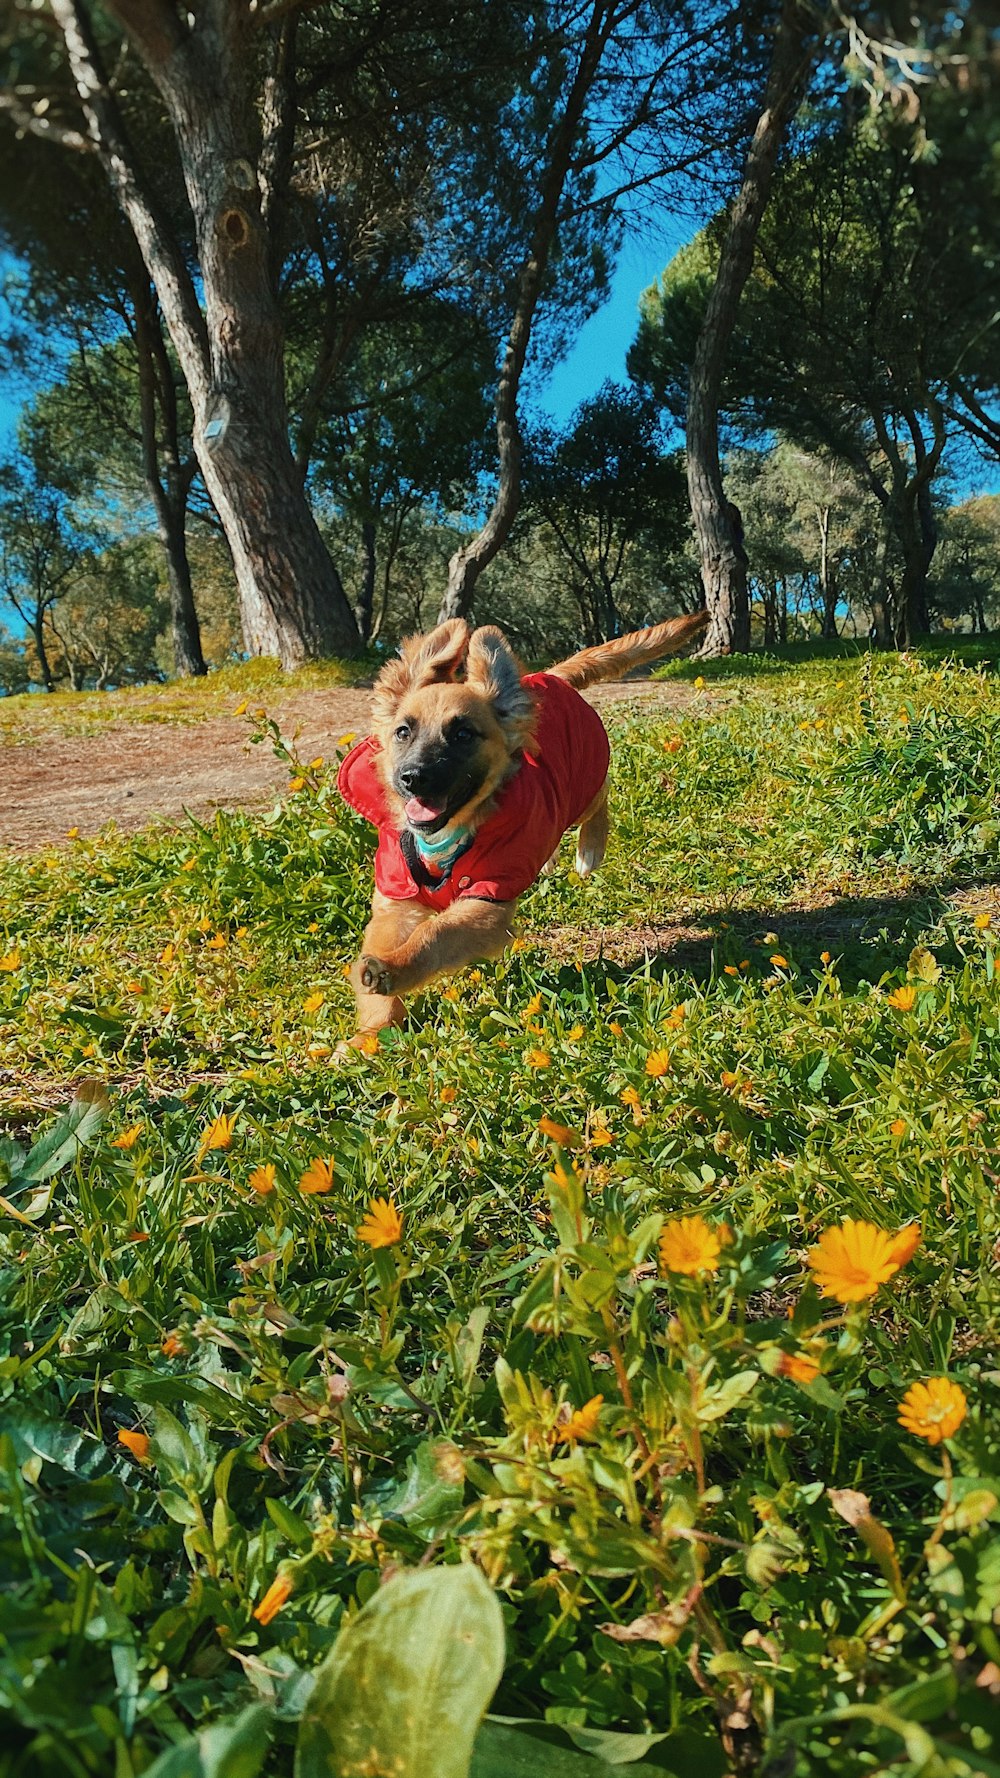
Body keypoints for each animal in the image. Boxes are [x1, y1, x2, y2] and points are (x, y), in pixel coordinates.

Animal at [338, 618, 704, 1045]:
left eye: (463, 734)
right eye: (402, 732)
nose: (412, 778)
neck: (445, 837)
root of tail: (548, 676)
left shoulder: (485, 905)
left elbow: (435, 935)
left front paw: (393, 970)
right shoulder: (396, 902)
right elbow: (382, 969)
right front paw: (370, 1035)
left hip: (581, 786)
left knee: (601, 797)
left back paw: (590, 848)